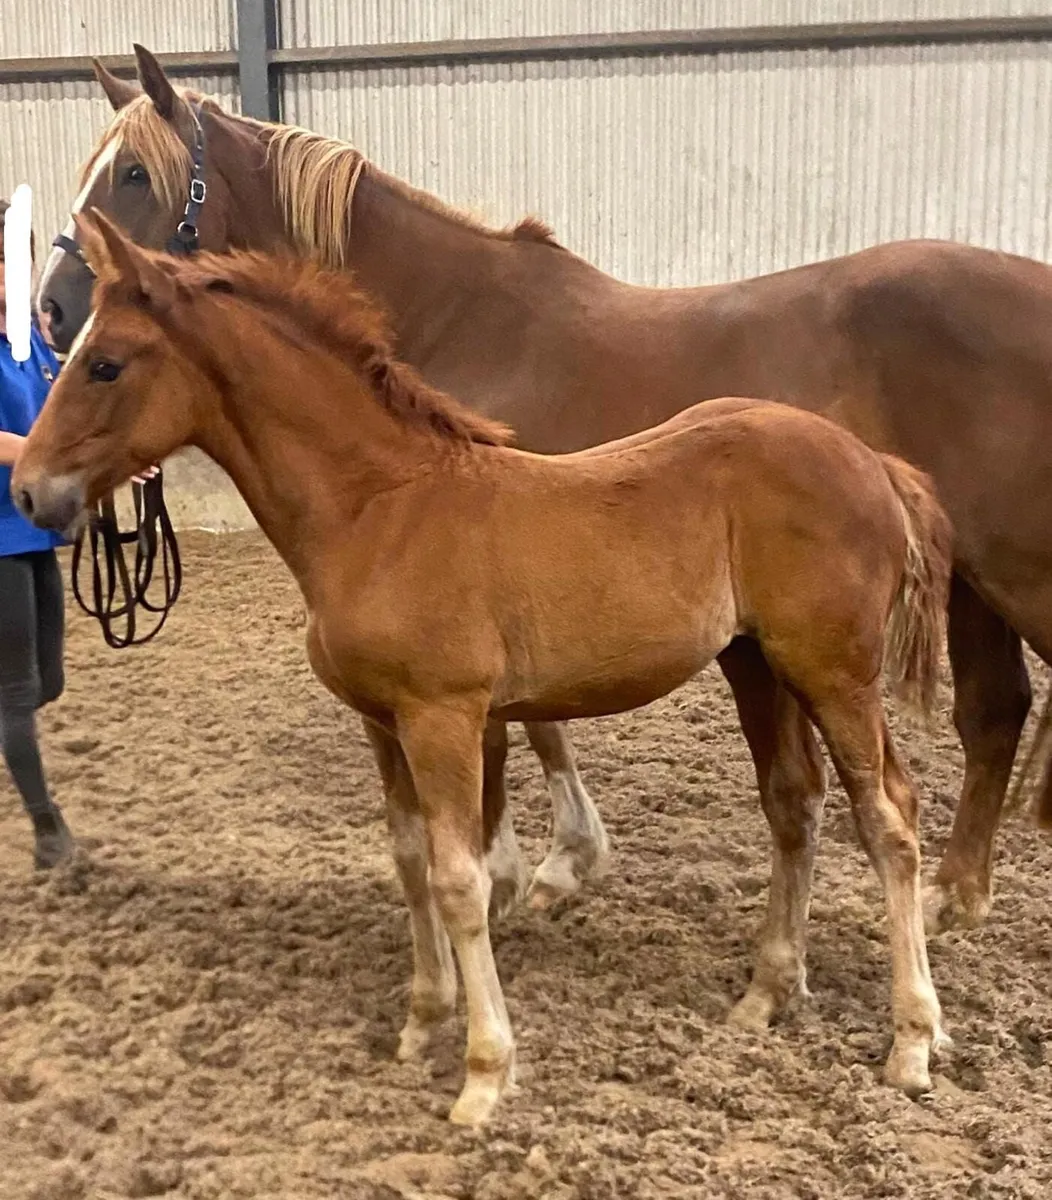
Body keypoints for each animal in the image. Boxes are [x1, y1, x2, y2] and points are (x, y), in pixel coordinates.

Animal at [17, 212, 953, 1125]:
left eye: (104, 363)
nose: (28, 491)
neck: (379, 507)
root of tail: (873, 464)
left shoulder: (445, 717)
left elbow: (460, 879)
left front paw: (483, 1073)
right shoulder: (382, 722)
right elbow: (409, 861)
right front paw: (421, 1020)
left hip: (834, 671)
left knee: (890, 819)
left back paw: (912, 1039)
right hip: (756, 664)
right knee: (794, 805)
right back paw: (765, 995)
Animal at [38, 46, 1052, 935]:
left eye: (132, 174)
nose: (50, 308)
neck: (458, 318)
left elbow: (527, 732)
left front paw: (532, 865)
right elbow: (540, 722)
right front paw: (558, 858)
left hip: (1014, 575)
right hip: (969, 581)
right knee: (995, 712)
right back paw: (957, 893)